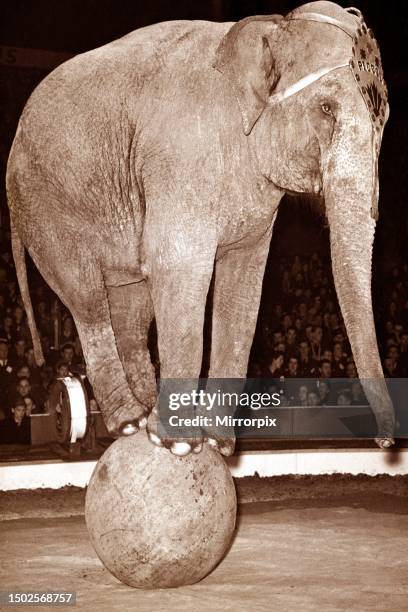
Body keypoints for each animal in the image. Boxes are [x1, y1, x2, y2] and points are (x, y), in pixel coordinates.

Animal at [6, 1, 396, 454]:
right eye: (326, 109)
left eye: (383, 119)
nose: (384, 441)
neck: (270, 26)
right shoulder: (180, 154)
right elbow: (180, 266)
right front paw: (180, 444)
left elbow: (243, 286)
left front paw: (218, 445)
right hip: (46, 203)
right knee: (86, 298)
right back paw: (128, 422)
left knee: (131, 309)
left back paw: (143, 417)